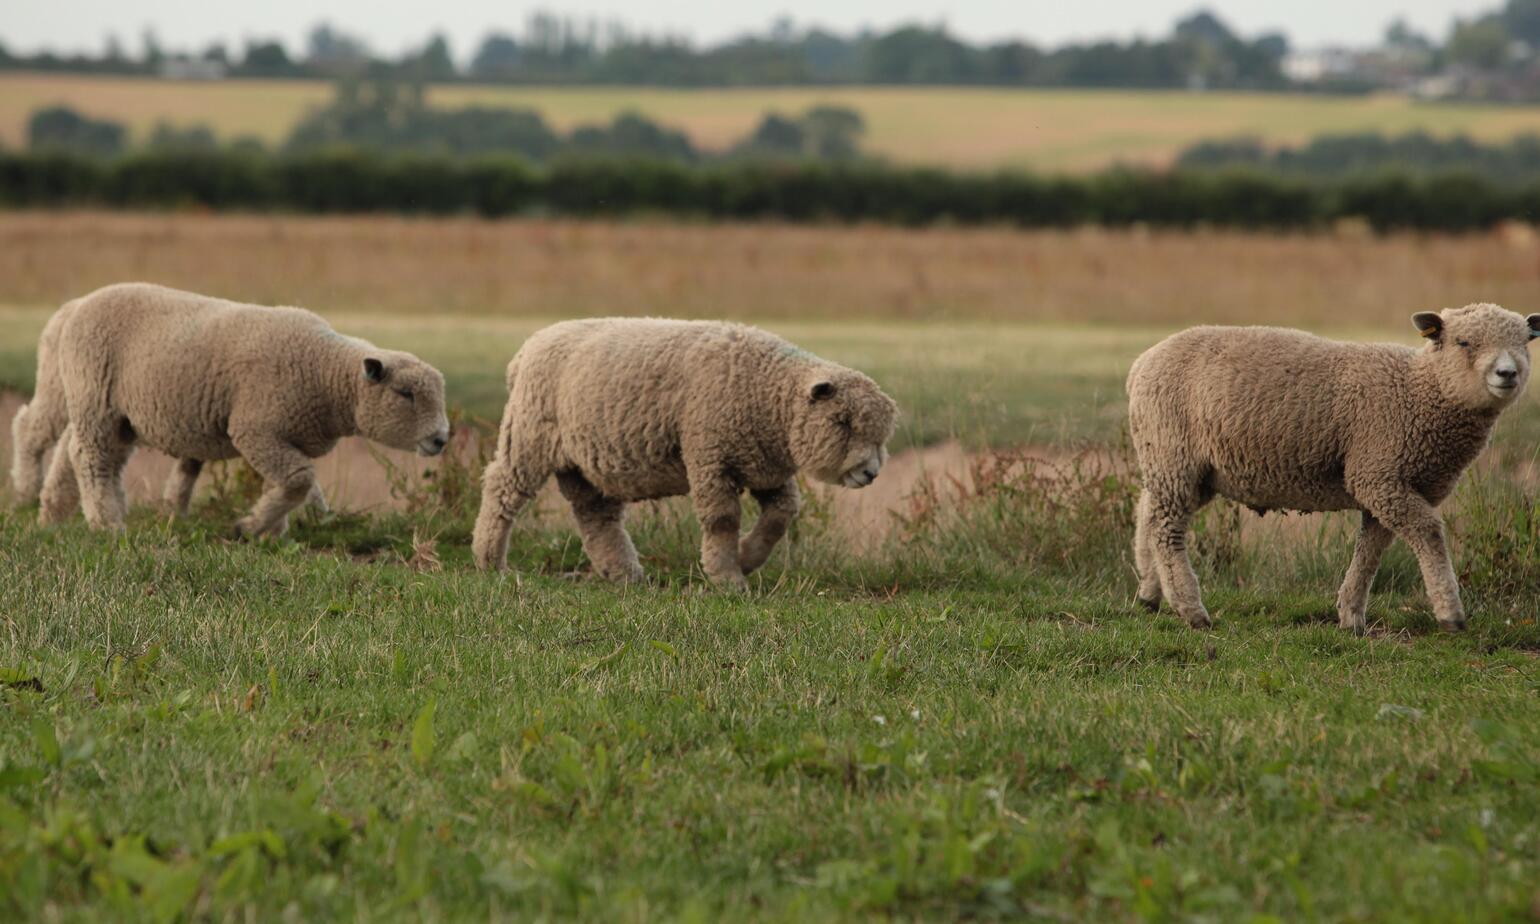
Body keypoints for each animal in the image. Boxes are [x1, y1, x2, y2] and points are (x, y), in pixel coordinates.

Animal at [17, 282, 450, 536]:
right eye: (406, 394)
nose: (441, 439)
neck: (325, 373)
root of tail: (76, 305)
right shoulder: (255, 428)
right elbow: (298, 480)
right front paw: (250, 526)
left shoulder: (283, 436)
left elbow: (292, 485)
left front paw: (276, 528)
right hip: (92, 395)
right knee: (78, 451)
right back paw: (97, 520)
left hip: (101, 405)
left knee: (71, 449)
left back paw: (53, 513)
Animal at [471, 318, 898, 590]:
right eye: (843, 422)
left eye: (882, 435)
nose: (871, 473)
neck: (768, 394)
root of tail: (525, 350)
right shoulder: (711, 456)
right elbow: (722, 520)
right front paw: (728, 578)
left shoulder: (763, 466)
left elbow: (781, 515)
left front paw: (746, 557)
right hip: (527, 436)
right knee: (502, 491)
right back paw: (489, 561)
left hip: (582, 463)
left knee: (597, 518)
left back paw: (624, 575)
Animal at [1127, 304, 1540, 633]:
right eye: (1464, 342)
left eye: (1524, 343)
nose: (1507, 373)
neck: (1419, 390)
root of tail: (1140, 364)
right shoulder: (1377, 475)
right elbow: (1429, 534)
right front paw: (1451, 614)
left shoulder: (1388, 486)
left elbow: (1371, 551)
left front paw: (1351, 614)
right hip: (1174, 453)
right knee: (1166, 529)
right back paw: (1191, 610)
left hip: (1177, 462)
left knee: (1147, 510)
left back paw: (1148, 594)